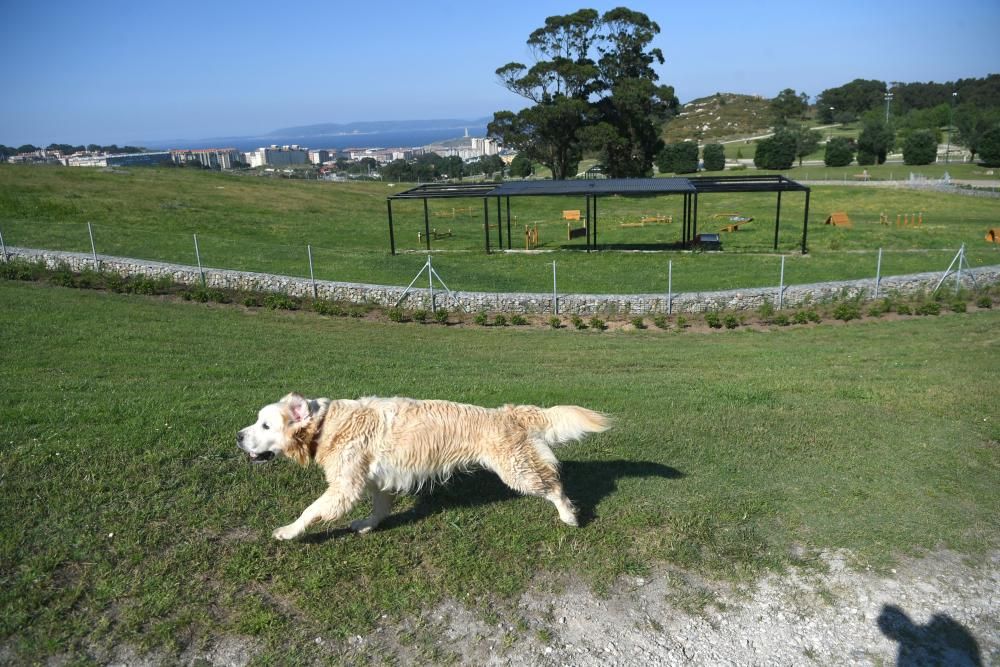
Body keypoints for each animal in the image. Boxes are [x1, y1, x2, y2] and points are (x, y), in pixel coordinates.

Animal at [237, 394, 608, 540]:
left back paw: (569, 515)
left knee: (555, 486)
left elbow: (310, 511)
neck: (326, 424)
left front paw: (288, 531)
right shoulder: (377, 482)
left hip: (518, 471)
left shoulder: (344, 487)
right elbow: (379, 508)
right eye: (257, 421)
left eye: (266, 425)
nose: (239, 436)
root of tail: (507, 412)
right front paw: (368, 525)